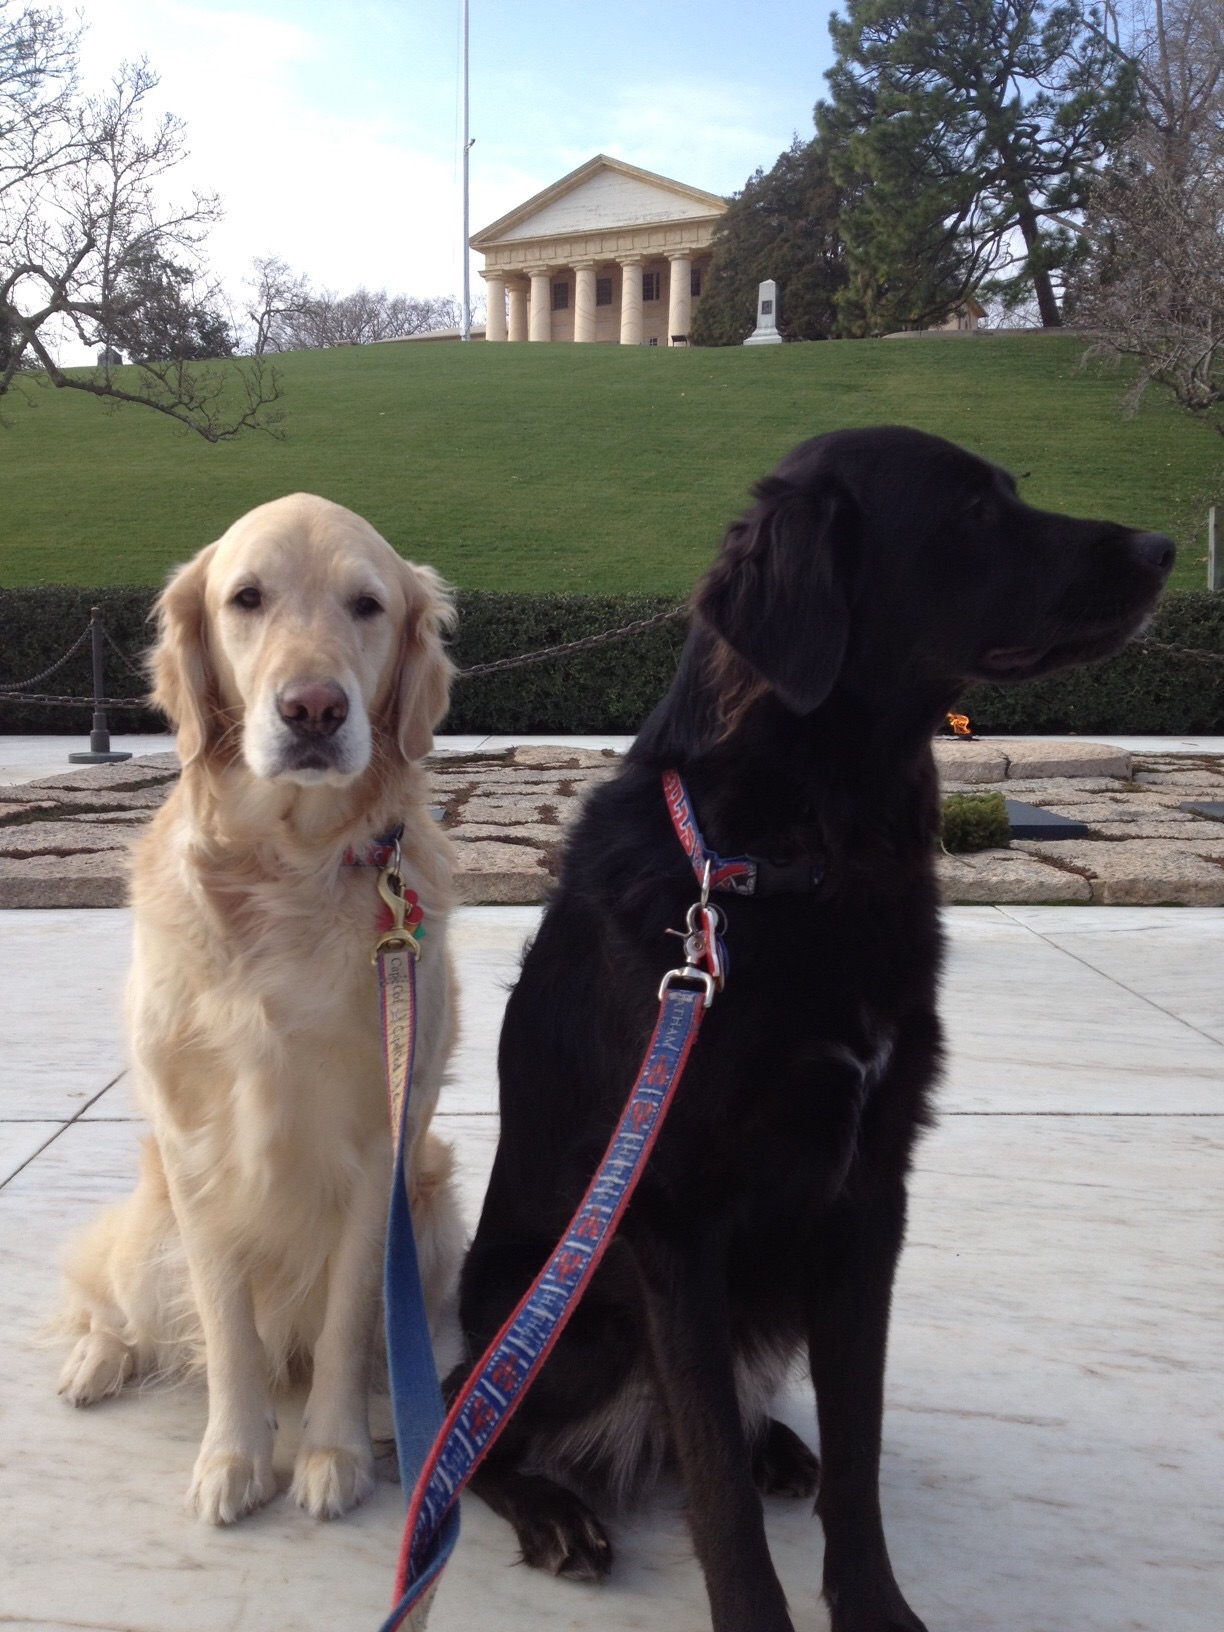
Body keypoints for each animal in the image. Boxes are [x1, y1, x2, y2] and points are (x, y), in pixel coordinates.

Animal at [57, 493, 464, 1526]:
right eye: (246, 598)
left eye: (367, 604)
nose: (313, 708)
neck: (290, 867)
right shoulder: (198, 1158)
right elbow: (228, 1330)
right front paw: (234, 1457)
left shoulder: (380, 1158)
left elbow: (349, 1319)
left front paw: (332, 1452)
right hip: (148, 1234)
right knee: (116, 1305)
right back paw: (94, 1360)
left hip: (438, 1215)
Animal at [454, 427, 1174, 1632]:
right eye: (974, 510)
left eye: (1011, 492)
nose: (1166, 545)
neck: (800, 856)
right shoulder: (671, 1217)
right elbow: (712, 1481)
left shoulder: (870, 1192)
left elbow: (858, 1445)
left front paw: (873, 1603)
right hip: (570, 1319)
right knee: (473, 1423)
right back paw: (553, 1508)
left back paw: (774, 1445)